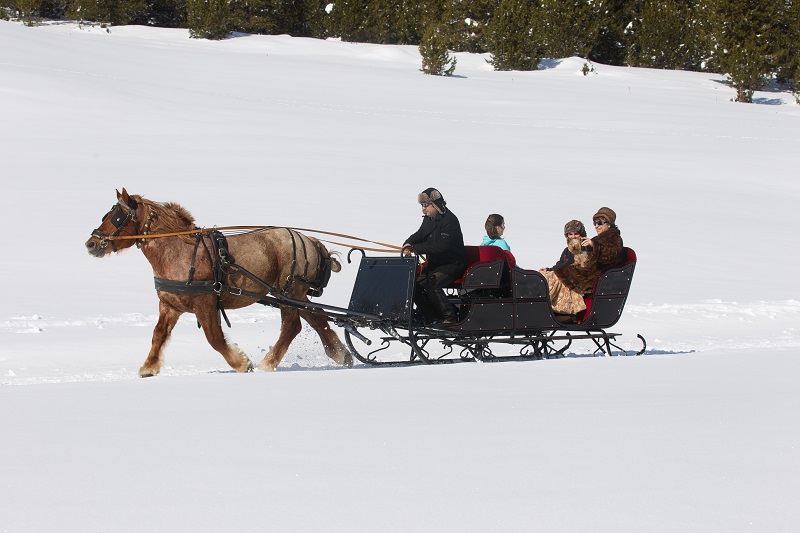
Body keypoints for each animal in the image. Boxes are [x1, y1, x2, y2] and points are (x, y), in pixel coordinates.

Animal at [83, 189, 354, 376]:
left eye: (117, 218)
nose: (91, 243)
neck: (179, 251)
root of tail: (310, 240)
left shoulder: (205, 302)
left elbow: (214, 337)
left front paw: (242, 363)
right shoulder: (170, 304)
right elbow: (158, 334)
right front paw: (148, 367)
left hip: (289, 291)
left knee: (292, 326)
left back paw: (268, 363)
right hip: (293, 294)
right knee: (317, 317)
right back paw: (341, 354)